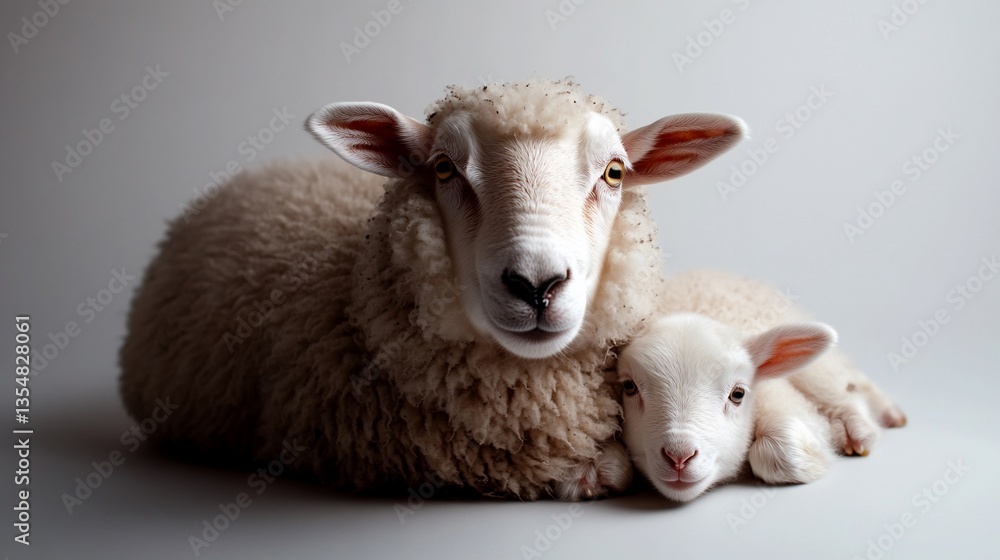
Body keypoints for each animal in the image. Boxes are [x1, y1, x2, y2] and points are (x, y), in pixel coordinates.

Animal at [616, 270, 907, 502]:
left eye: (738, 394)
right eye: (629, 387)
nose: (679, 457)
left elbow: (779, 452)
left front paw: (814, 458)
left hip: (816, 366)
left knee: (846, 383)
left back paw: (869, 422)